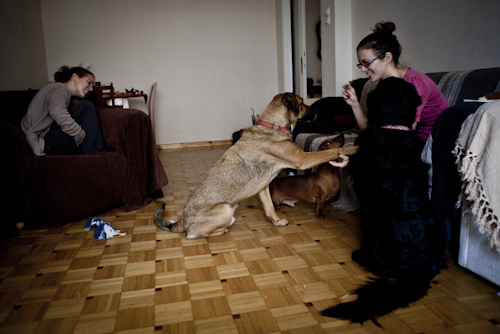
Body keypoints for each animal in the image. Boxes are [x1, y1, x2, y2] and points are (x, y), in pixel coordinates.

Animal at [154, 92, 358, 237]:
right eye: (301, 102)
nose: (317, 111)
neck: (272, 125)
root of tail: (182, 221)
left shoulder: (264, 186)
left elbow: (269, 207)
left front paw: (277, 222)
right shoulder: (303, 158)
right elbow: (330, 152)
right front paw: (356, 148)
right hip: (225, 209)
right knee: (194, 235)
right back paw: (221, 230)